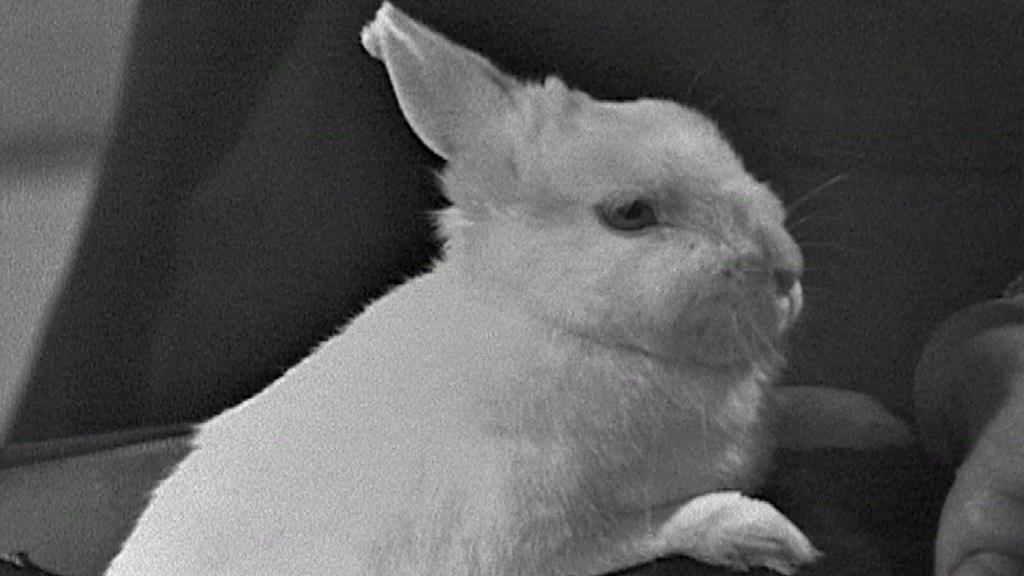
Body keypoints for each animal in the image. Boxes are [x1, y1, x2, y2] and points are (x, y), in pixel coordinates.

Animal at [106, 3, 913, 575]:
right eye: (630, 214)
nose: (786, 270)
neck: (563, 322)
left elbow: (809, 409)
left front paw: (875, 421)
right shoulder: (529, 535)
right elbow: (661, 525)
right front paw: (762, 535)